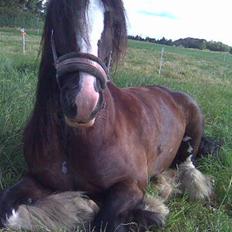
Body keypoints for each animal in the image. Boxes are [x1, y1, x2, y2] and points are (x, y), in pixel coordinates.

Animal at [0, 0, 218, 231]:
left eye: (113, 24)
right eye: (62, 16)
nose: (84, 102)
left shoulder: (131, 185)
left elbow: (104, 221)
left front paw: (147, 213)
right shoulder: (37, 179)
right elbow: (6, 209)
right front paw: (76, 206)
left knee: (187, 166)